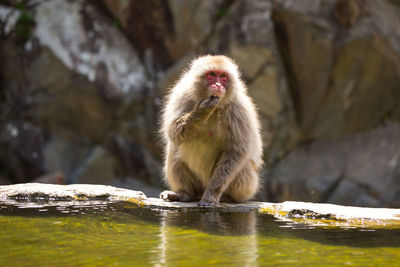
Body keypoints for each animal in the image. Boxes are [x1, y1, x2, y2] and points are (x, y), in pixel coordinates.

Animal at [159, 55, 262, 207]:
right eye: (212, 74)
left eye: (223, 76)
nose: (218, 85)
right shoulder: (182, 95)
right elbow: (173, 130)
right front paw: (202, 111)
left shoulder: (239, 109)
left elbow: (236, 151)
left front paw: (210, 196)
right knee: (174, 152)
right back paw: (184, 193)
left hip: (249, 186)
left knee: (242, 167)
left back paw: (228, 198)